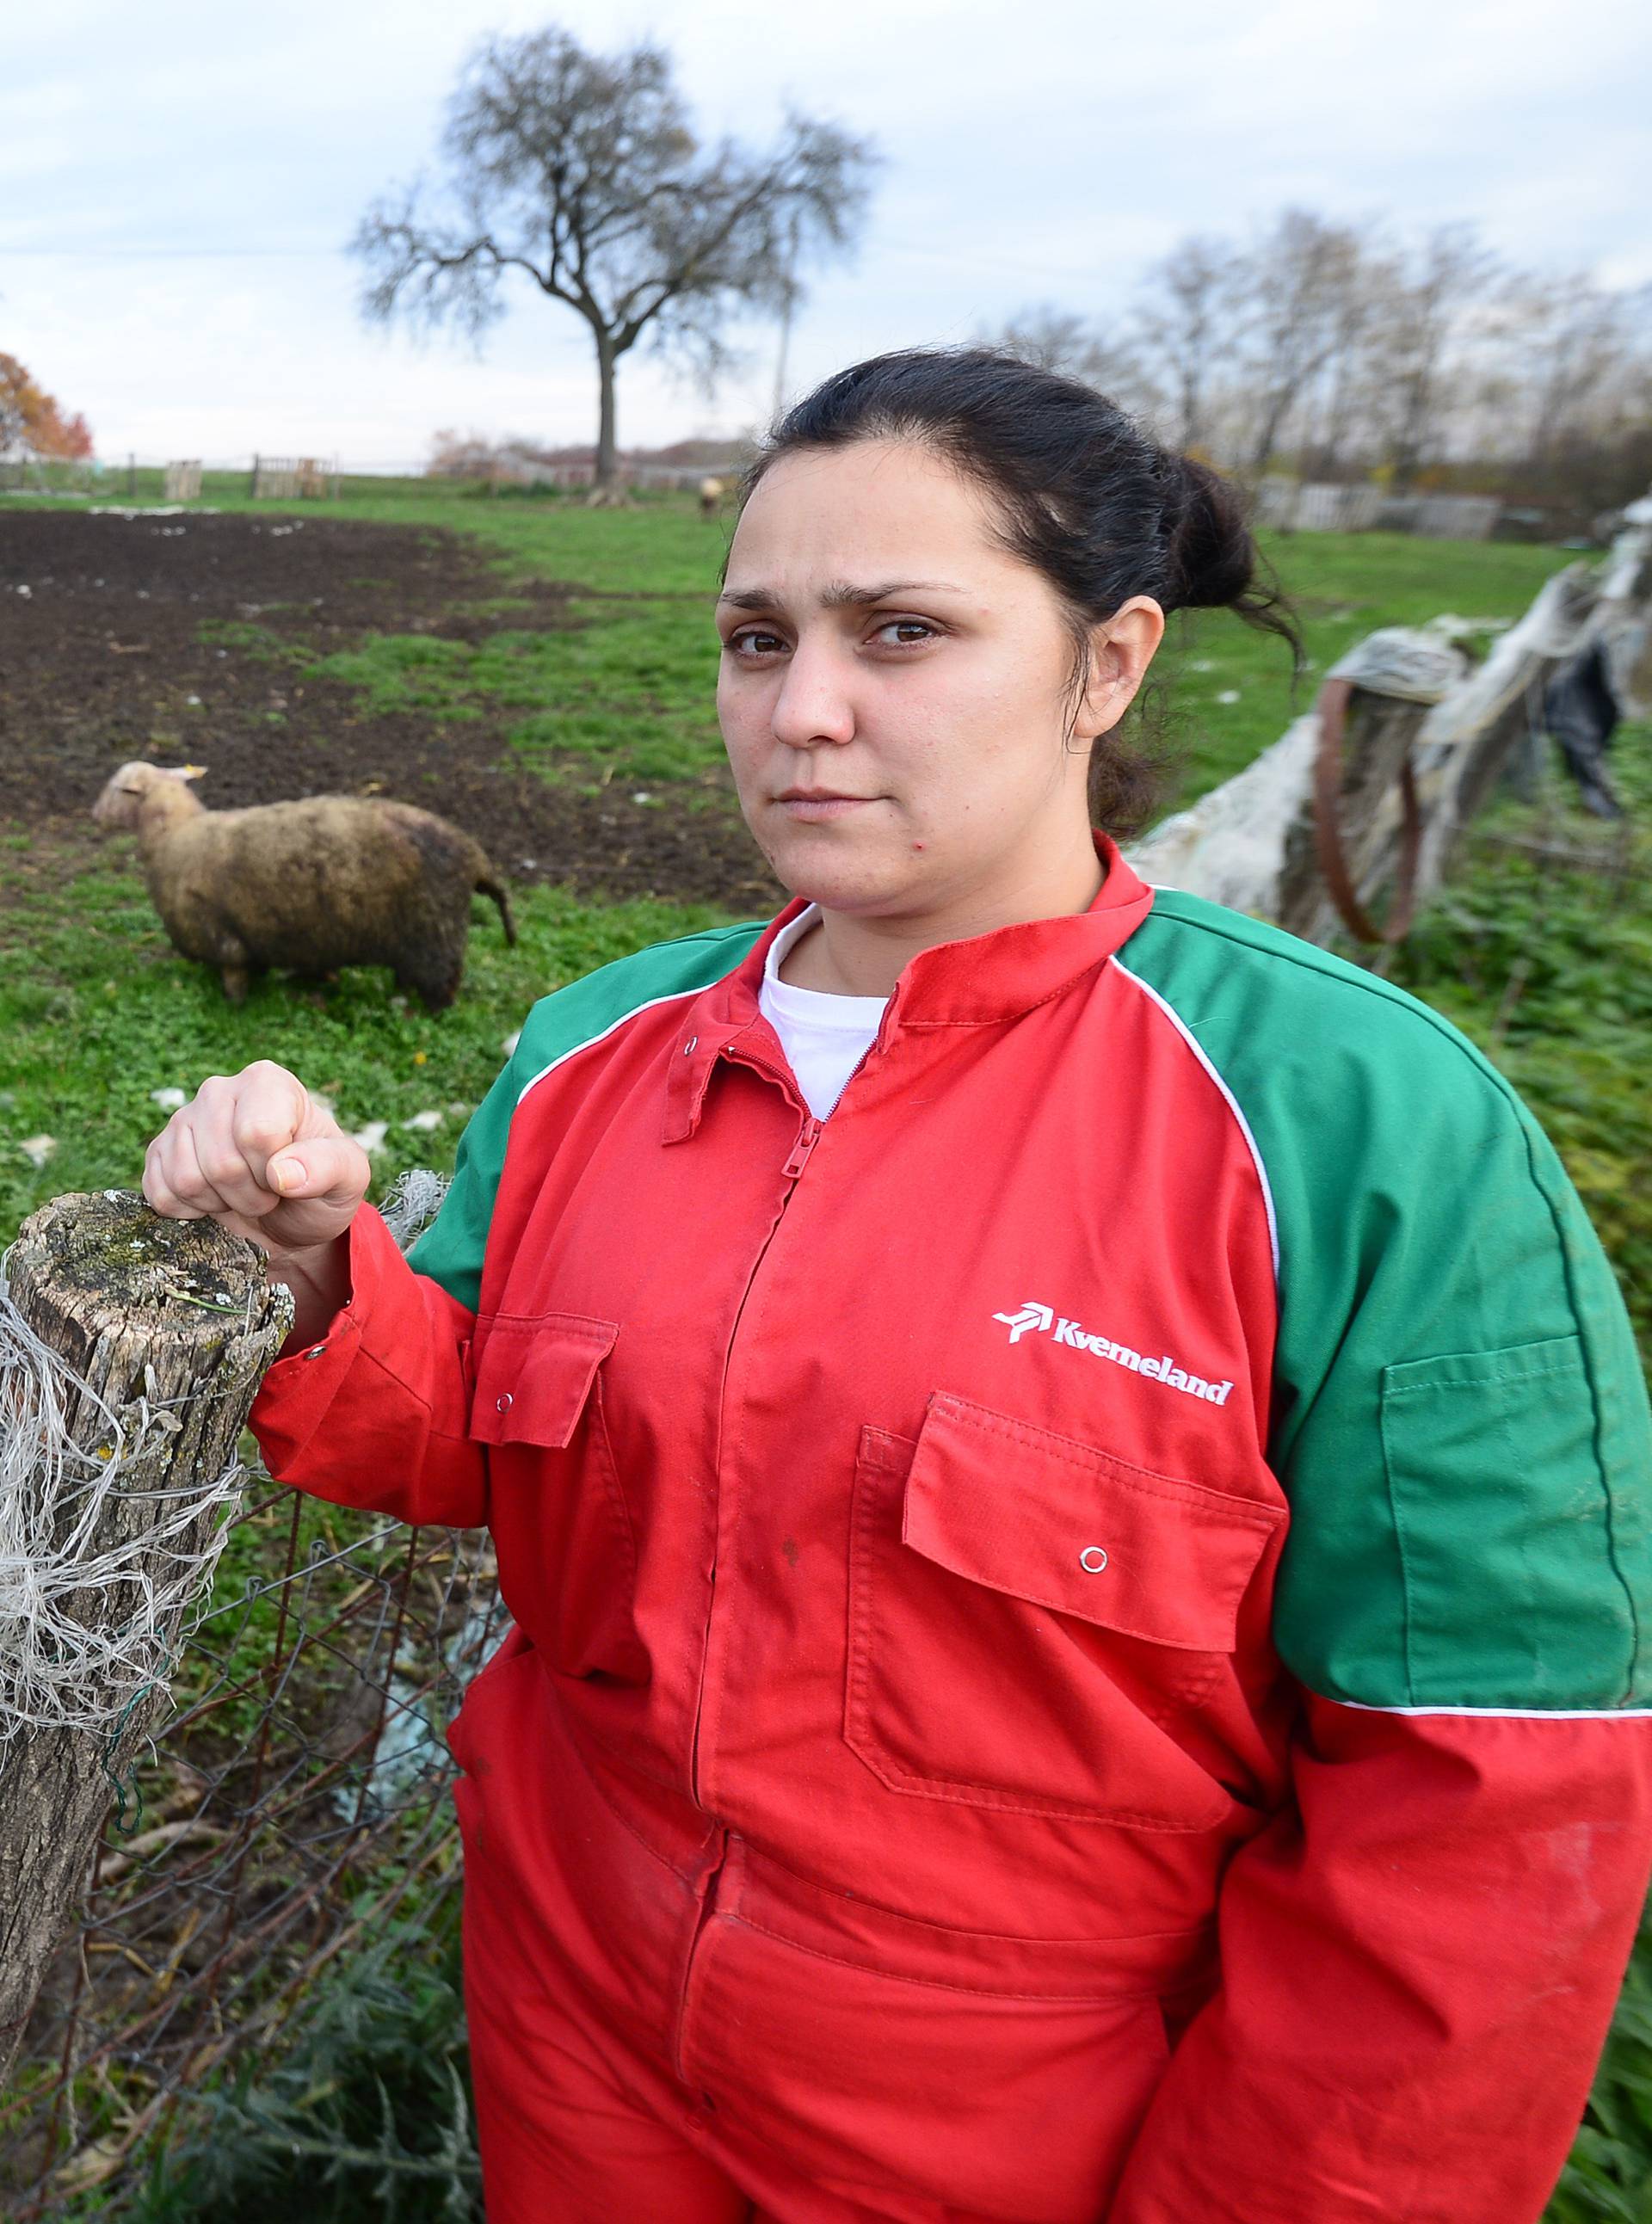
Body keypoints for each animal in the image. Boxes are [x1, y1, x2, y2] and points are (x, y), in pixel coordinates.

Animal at [92, 765, 515, 1009]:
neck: (174, 836)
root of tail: (475, 857)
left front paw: (234, 1006)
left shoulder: (225, 940)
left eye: (116, 789)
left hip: (435, 933)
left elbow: (234, 985)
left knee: (443, 984)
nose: (93, 816)